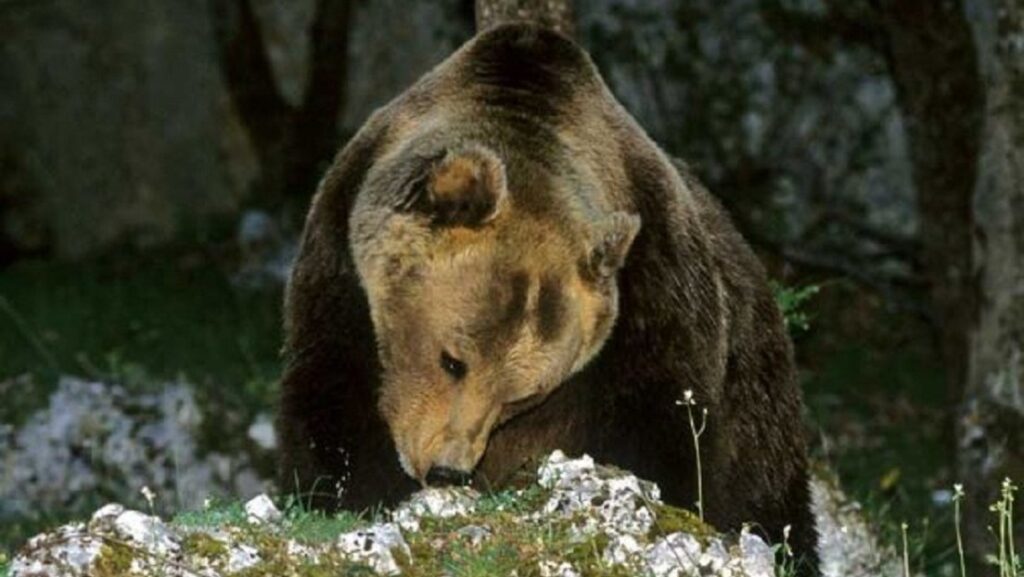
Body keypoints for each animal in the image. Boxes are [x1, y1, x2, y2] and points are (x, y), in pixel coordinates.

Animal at [276, 20, 819, 569]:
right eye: (453, 360)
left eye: (522, 396)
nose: (448, 469)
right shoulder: (341, 260)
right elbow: (333, 393)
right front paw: (354, 491)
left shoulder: (656, 298)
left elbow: (664, 432)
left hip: (755, 391)